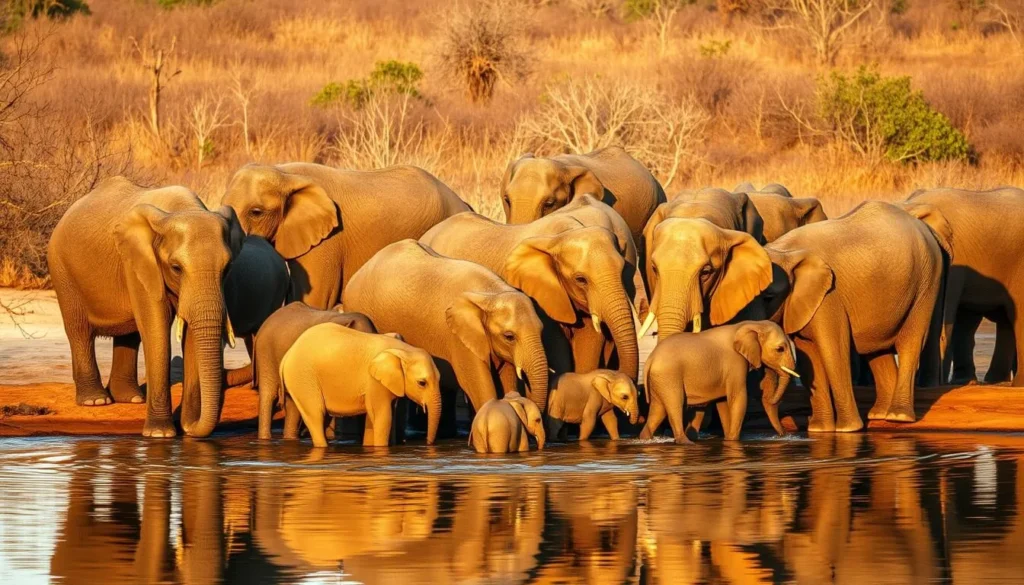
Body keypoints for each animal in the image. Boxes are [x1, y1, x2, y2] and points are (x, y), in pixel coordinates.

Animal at [47, 176, 243, 437]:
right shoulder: (138, 261)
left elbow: (190, 334)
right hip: (61, 268)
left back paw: (130, 398)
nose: (188, 426)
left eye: (228, 268)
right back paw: (95, 401)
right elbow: (155, 325)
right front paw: (160, 434)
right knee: (78, 330)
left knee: (129, 334)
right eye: (176, 268)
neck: (183, 209)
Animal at [279, 322, 442, 447]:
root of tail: (287, 355)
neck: (404, 350)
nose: (427, 444)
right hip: (303, 377)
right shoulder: (374, 381)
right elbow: (384, 417)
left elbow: (374, 418)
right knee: (316, 415)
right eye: (422, 383)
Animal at [342, 240, 550, 419]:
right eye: (509, 336)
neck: (491, 293)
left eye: (542, 331)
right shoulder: (457, 339)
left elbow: (506, 378)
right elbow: (477, 384)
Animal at [639, 321, 797, 443]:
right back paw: (686, 443)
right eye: (780, 349)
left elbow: (723, 402)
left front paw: (728, 439)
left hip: (659, 379)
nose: (783, 435)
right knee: (674, 404)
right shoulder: (735, 362)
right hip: (669, 376)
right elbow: (738, 397)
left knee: (658, 409)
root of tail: (651, 359)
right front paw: (733, 440)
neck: (753, 324)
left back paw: (646, 438)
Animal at [758, 201, 952, 432]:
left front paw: (847, 430)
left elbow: (833, 350)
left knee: (910, 341)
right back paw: (879, 414)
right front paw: (819, 430)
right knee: (877, 349)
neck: (785, 251)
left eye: (768, 297)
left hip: (927, 280)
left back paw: (898, 417)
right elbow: (808, 356)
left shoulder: (829, 297)